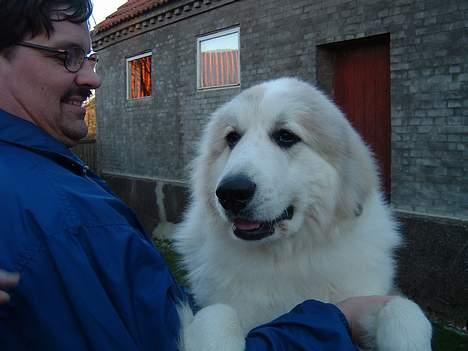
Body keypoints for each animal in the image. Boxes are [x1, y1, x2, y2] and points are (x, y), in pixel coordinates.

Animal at [175, 77, 432, 351]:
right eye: (232, 138)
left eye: (286, 136)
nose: (231, 192)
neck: (283, 259)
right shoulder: (212, 304)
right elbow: (217, 313)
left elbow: (402, 307)